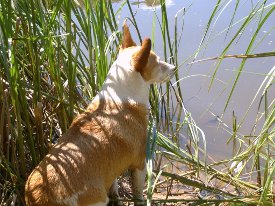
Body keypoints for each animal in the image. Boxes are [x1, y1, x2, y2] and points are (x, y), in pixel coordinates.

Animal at [24, 21, 176, 205]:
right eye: (158, 62)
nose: (174, 68)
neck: (121, 95)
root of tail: (42, 197)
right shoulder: (139, 163)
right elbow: (138, 194)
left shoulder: (112, 169)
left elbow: (114, 185)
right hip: (98, 200)